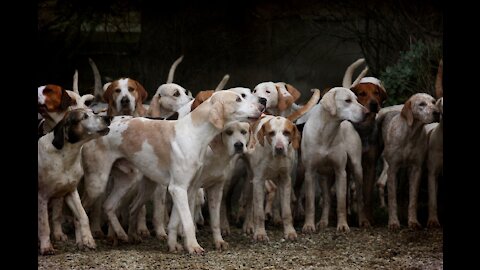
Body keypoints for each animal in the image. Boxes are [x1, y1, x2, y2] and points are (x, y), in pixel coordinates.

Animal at [37, 108, 110, 255]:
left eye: (94, 112)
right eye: (84, 117)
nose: (108, 118)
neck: (64, 157)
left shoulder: (71, 192)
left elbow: (83, 216)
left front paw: (87, 239)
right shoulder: (41, 197)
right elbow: (44, 225)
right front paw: (46, 247)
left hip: (59, 196)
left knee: (56, 216)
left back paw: (59, 234)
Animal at [302, 87, 370, 233]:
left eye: (357, 99)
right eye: (347, 100)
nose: (367, 112)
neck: (326, 132)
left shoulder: (341, 172)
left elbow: (341, 202)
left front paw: (343, 225)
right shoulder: (310, 173)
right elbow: (310, 203)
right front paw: (308, 225)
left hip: (357, 169)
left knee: (360, 198)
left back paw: (363, 220)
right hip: (323, 177)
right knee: (326, 199)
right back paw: (323, 222)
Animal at [376, 93, 440, 230]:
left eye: (433, 102)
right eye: (422, 104)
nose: (437, 112)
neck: (410, 135)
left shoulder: (416, 169)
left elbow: (413, 199)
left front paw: (413, 221)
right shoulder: (392, 170)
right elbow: (392, 199)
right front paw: (393, 222)